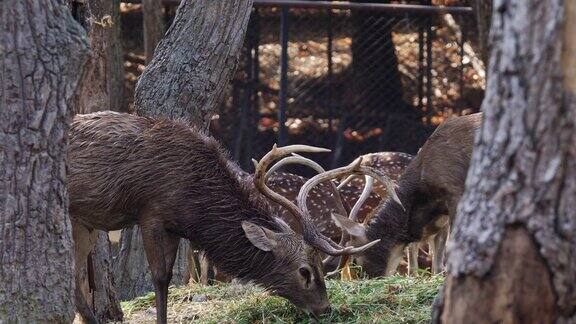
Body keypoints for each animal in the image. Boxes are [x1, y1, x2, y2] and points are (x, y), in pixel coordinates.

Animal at [66, 110, 396, 322]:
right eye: (305, 271)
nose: (325, 309)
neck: (194, 205)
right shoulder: (152, 212)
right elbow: (160, 278)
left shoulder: (173, 226)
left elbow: (167, 277)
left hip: (84, 222)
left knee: (76, 277)